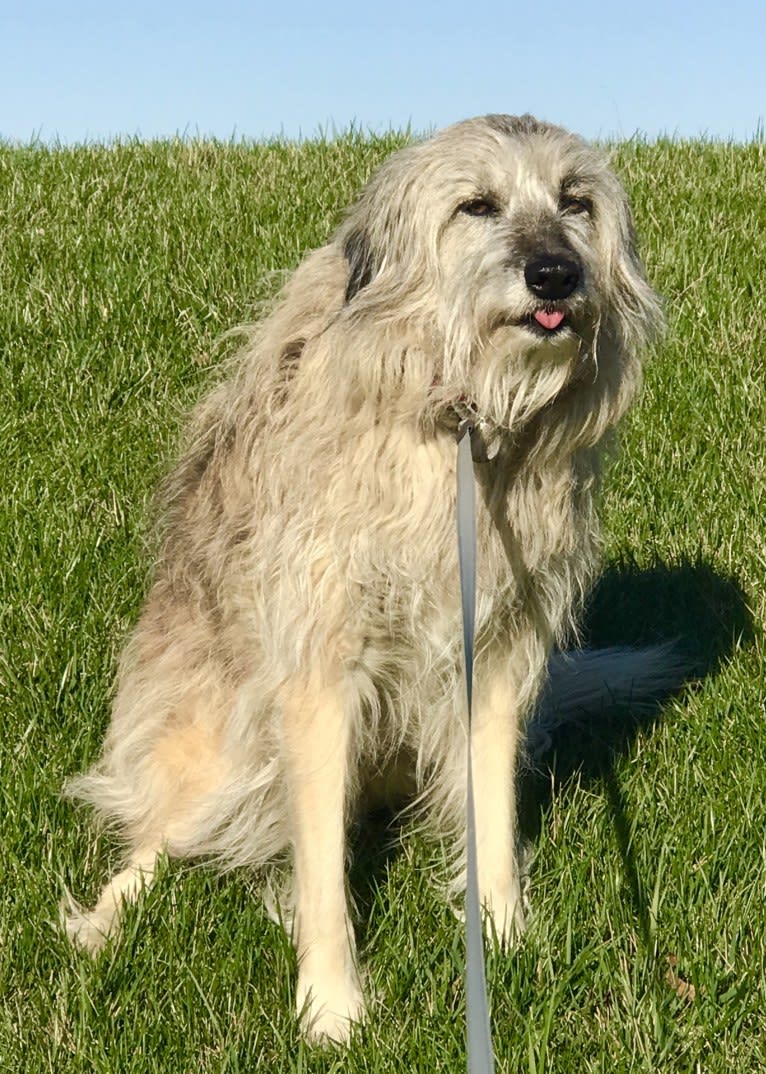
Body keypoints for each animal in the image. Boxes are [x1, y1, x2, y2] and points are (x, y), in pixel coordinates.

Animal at [64, 115, 661, 1039]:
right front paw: (332, 1004)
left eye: (575, 202)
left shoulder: (495, 659)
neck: (458, 418)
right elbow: (319, 871)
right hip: (222, 749)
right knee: (158, 835)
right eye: (476, 205)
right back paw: (105, 920)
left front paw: (504, 939)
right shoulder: (320, 673)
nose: (555, 273)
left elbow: (491, 812)